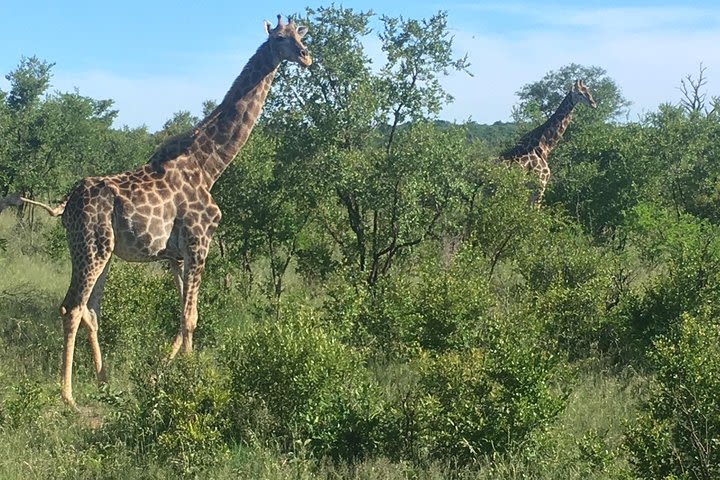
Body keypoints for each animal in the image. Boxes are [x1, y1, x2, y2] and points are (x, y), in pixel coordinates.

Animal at [8, 14, 310, 408]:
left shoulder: (174, 256)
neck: (209, 165)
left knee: (91, 309)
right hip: (91, 247)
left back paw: (105, 383)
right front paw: (190, 381)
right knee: (72, 306)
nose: (306, 56)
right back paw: (69, 396)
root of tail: (66, 204)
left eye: (299, 36)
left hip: (101, 252)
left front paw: (163, 374)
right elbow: (190, 318)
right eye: (280, 39)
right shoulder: (199, 243)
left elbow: (184, 316)